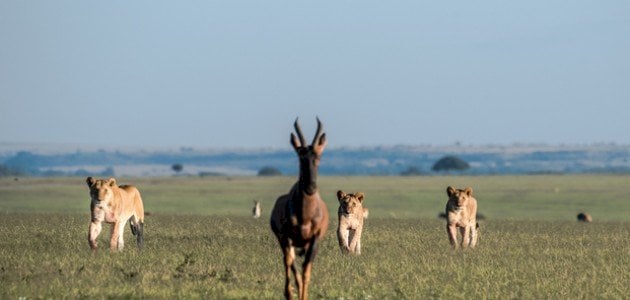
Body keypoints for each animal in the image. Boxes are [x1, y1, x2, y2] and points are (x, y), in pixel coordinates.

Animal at [270, 117, 330, 300]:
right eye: (300, 156)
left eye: (318, 156)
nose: (311, 187)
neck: (306, 214)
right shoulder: (286, 237)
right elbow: (290, 264)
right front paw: (289, 293)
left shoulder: (314, 240)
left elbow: (306, 272)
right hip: (285, 241)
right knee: (289, 262)